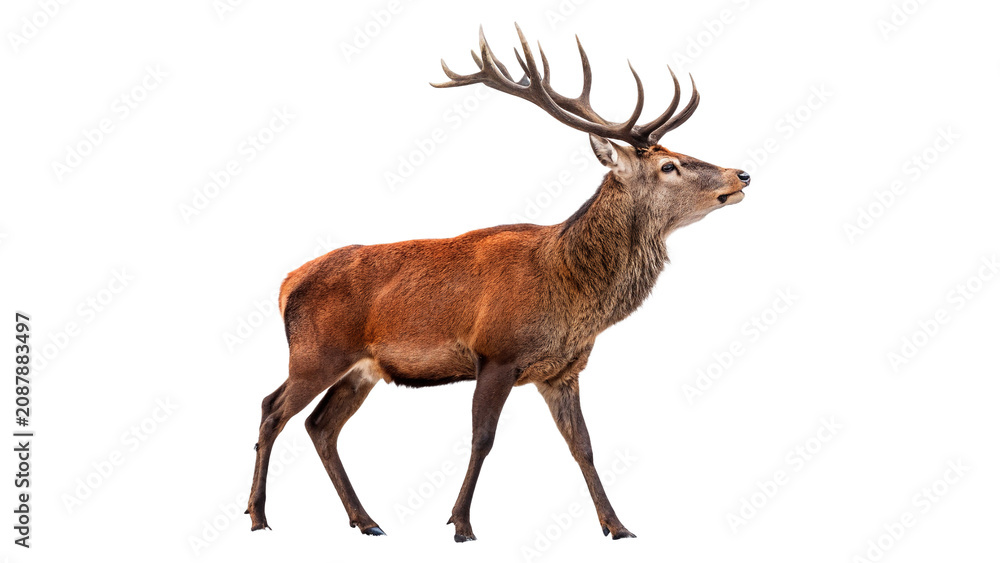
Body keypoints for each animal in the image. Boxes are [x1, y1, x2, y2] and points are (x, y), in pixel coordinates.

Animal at [247, 24, 750, 542]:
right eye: (669, 166)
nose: (741, 174)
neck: (573, 296)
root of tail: (286, 283)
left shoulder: (562, 370)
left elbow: (583, 445)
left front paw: (617, 525)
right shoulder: (497, 353)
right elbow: (482, 439)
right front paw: (461, 524)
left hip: (361, 369)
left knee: (320, 426)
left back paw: (365, 521)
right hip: (316, 353)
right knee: (271, 408)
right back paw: (259, 515)